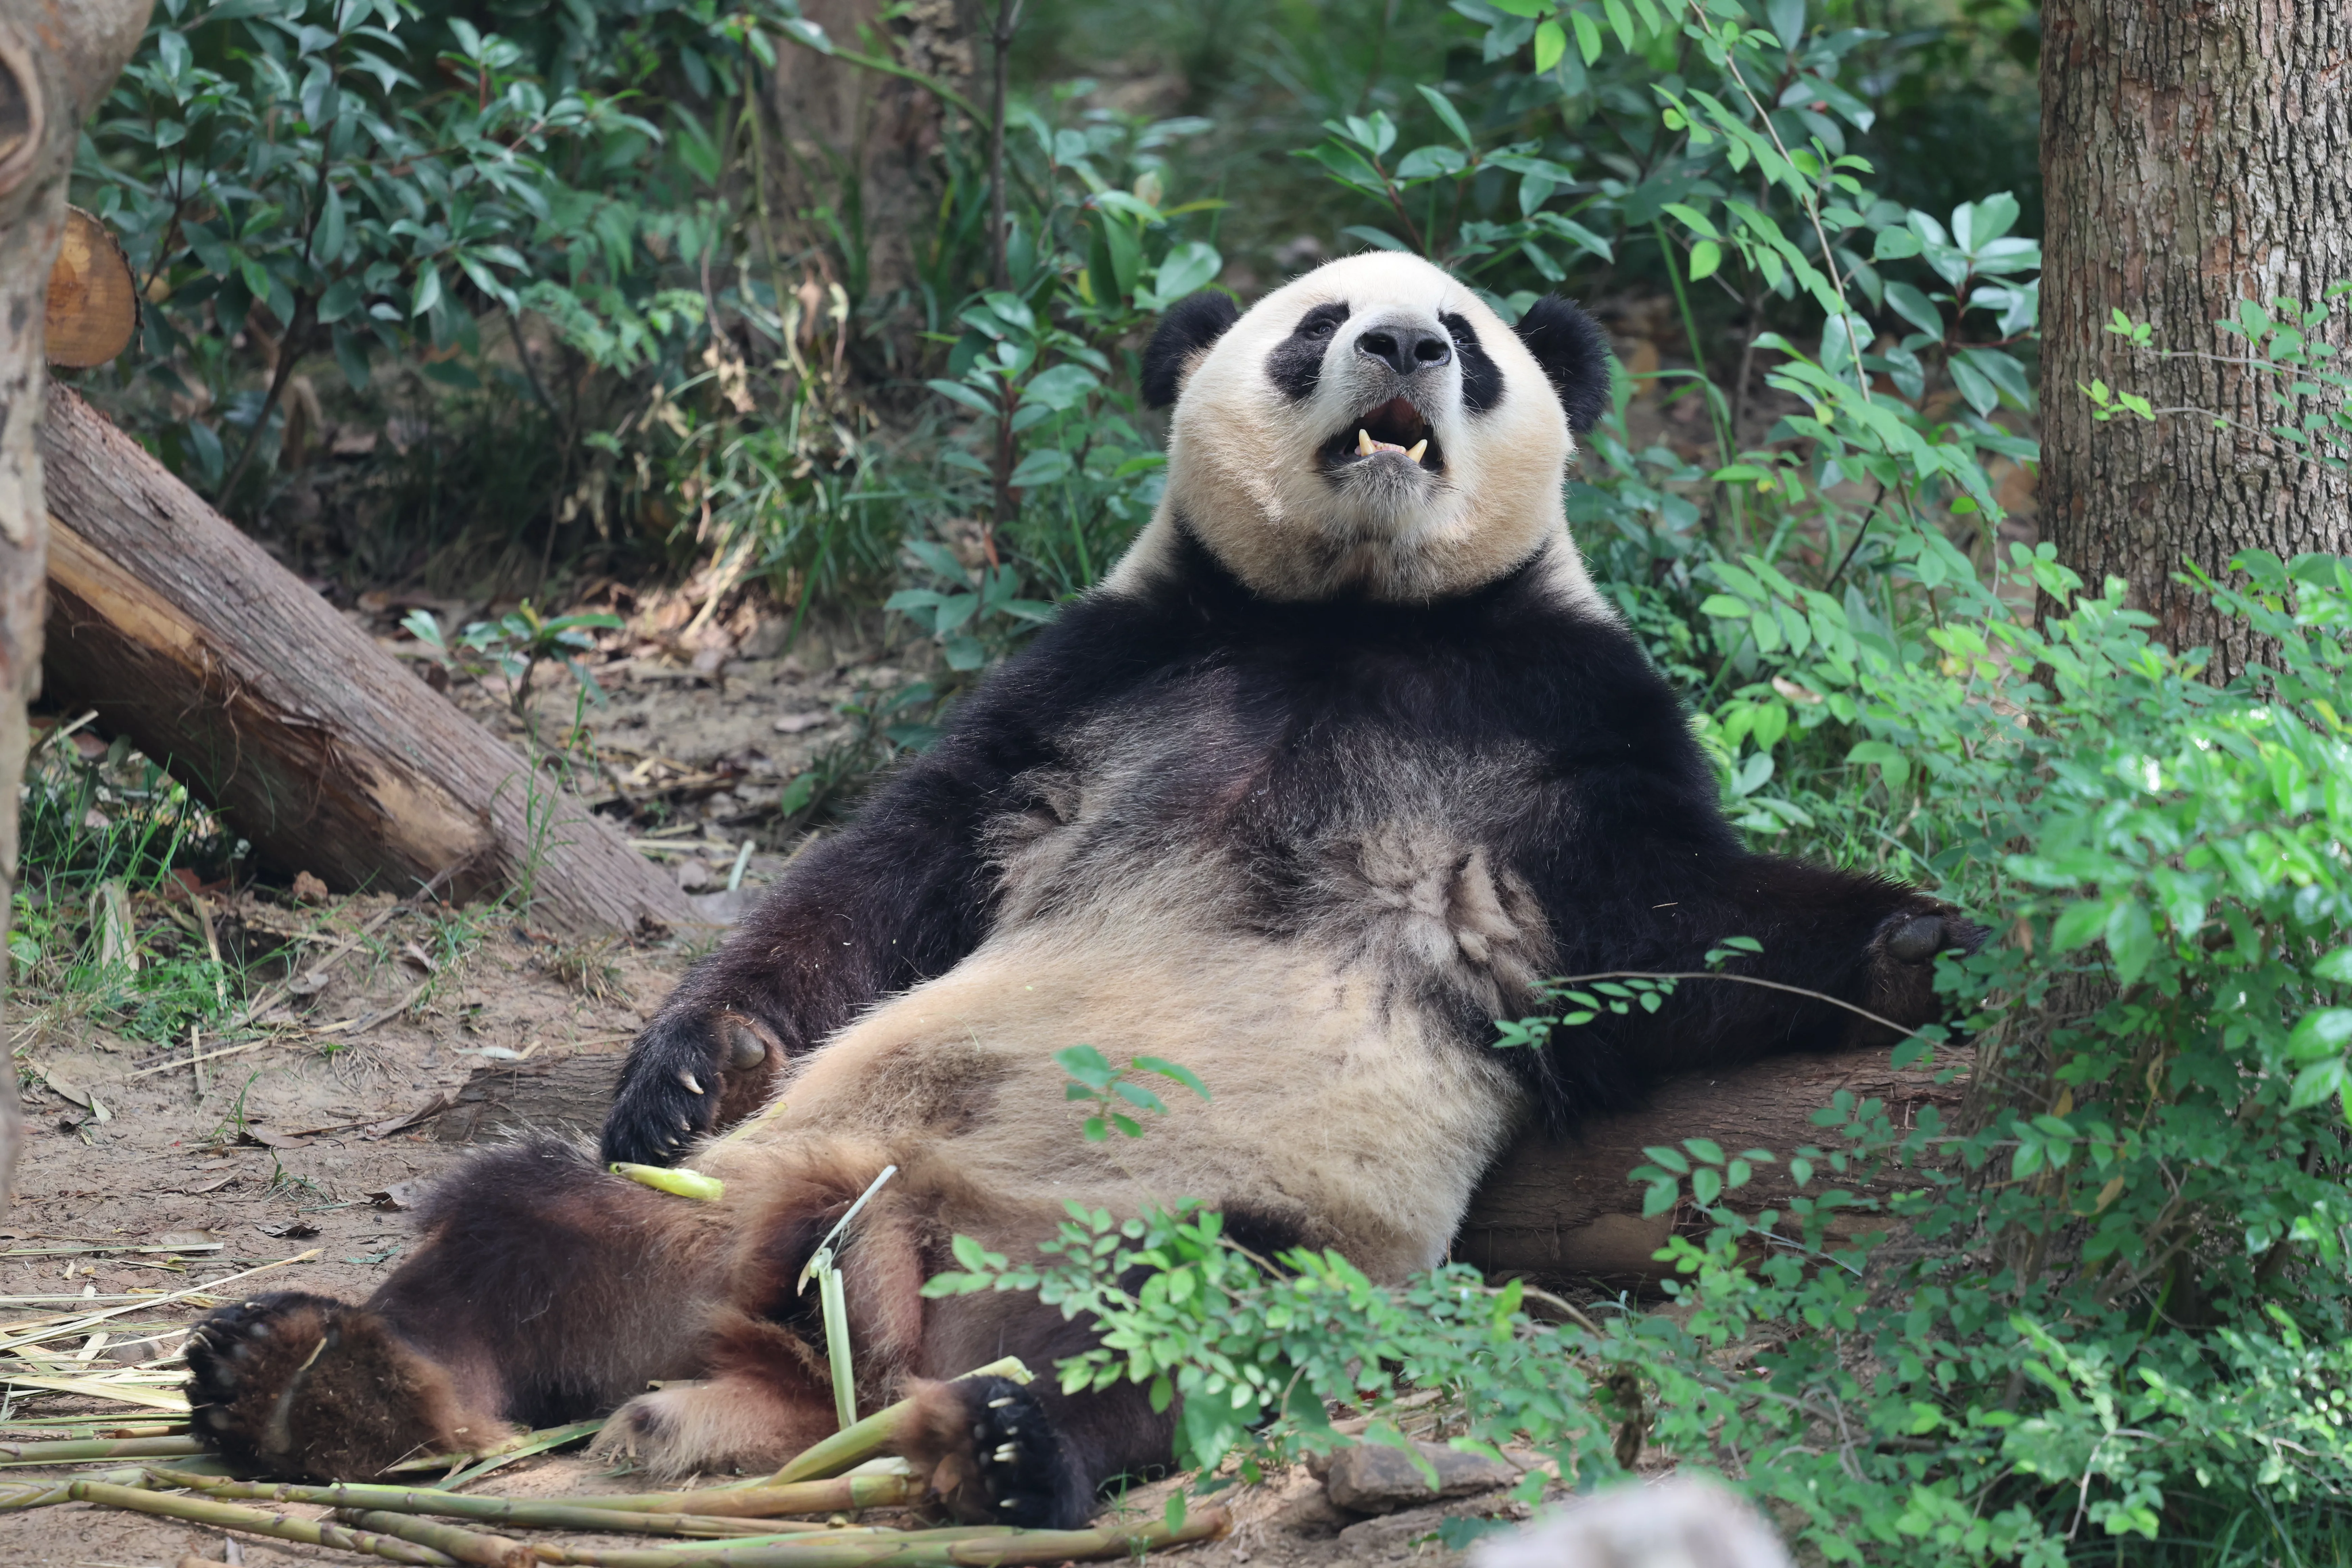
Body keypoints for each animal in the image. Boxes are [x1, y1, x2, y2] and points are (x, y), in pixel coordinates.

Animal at [182, 252, 1975, 1521]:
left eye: (1466, 337)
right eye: (1322, 322)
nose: (1403, 351)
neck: (1349, 617)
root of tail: (837, 1317)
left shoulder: (1556, 716)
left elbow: (1671, 919)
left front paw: (1922, 942)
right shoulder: (1098, 672)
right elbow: (888, 870)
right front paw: (690, 1061)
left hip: (1197, 1223)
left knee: (1182, 1328)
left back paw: (1005, 1449)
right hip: (723, 1207)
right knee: (523, 1215)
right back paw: (314, 1377)